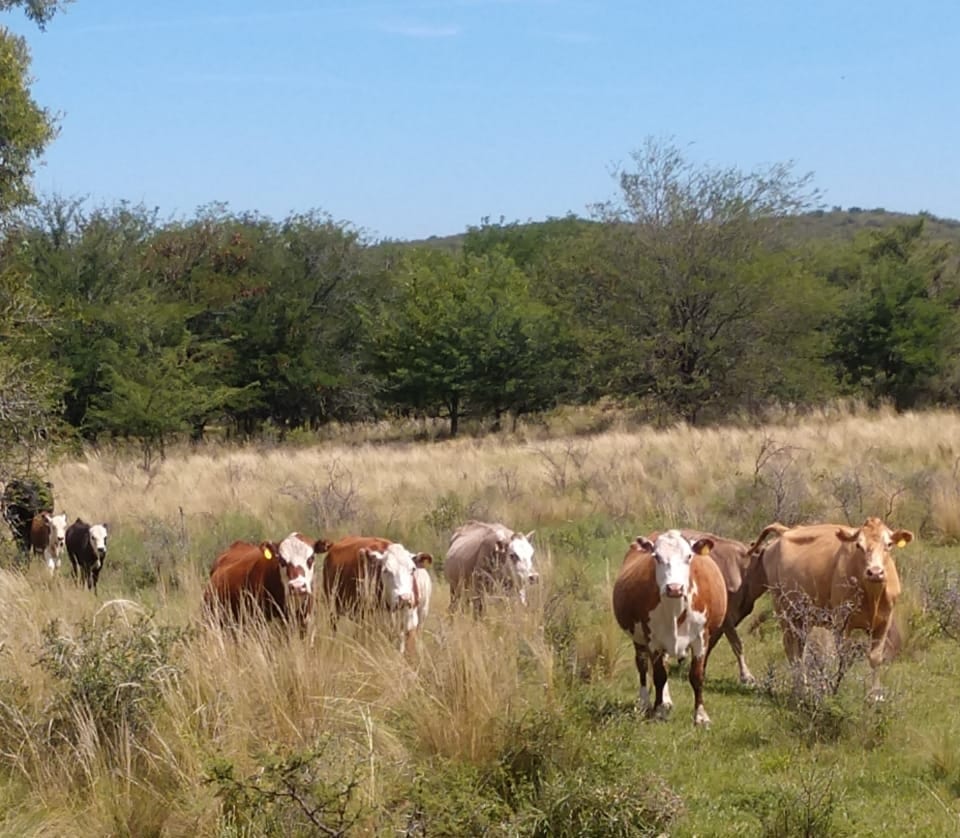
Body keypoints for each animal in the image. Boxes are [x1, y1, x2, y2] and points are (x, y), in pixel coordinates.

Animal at [612, 530, 727, 726]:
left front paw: (701, 716)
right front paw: (658, 711)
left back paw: (666, 701)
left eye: (689, 556)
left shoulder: (701, 638)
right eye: (656, 557)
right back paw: (645, 702)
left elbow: (697, 676)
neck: (675, 610)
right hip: (638, 638)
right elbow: (659, 676)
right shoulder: (653, 639)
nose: (674, 588)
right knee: (643, 666)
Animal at [749, 517, 913, 696]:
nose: (875, 572)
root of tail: (785, 531)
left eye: (888, 544)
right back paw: (799, 689)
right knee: (790, 648)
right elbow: (842, 657)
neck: (872, 597)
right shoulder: (841, 622)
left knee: (800, 649)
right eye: (858, 545)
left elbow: (875, 658)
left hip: (803, 617)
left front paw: (875, 695)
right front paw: (835, 690)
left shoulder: (884, 622)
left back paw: (804, 687)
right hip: (782, 608)